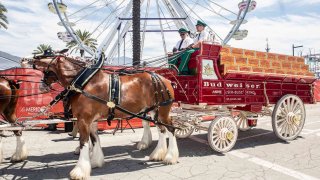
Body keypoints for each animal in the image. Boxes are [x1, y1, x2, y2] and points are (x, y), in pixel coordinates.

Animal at [32, 55, 179, 179]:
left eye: (46, 70)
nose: (41, 86)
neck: (84, 83)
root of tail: (166, 80)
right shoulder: (91, 120)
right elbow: (94, 139)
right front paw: (95, 162)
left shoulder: (83, 120)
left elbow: (83, 142)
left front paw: (79, 171)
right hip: (154, 111)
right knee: (162, 130)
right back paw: (157, 154)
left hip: (163, 111)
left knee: (171, 129)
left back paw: (170, 157)